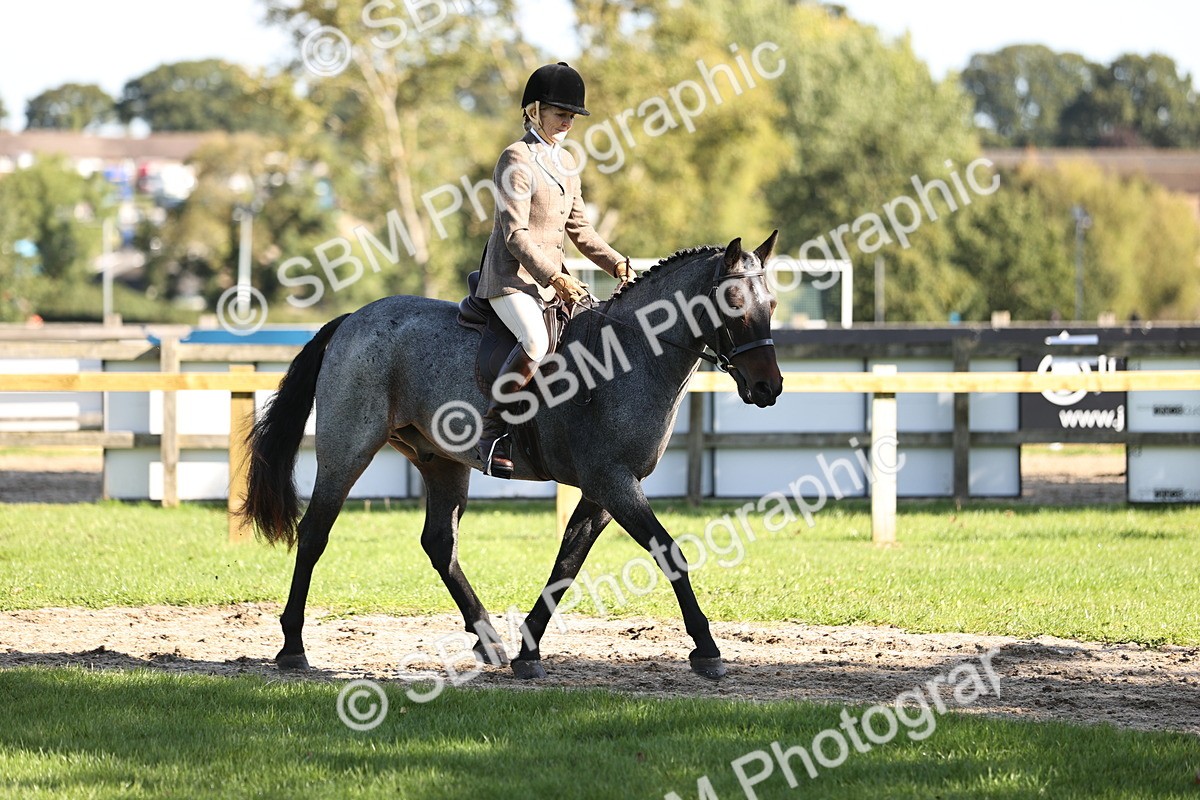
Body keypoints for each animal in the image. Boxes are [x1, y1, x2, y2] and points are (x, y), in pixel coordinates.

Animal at [240, 231, 784, 680]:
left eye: (773, 302)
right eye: (735, 303)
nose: (768, 387)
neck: (630, 356)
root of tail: (354, 319)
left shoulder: (604, 492)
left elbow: (566, 564)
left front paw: (528, 652)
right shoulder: (613, 482)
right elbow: (668, 553)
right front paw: (708, 650)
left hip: (441, 461)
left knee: (440, 543)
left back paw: (489, 642)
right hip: (348, 450)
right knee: (314, 534)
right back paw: (292, 647)